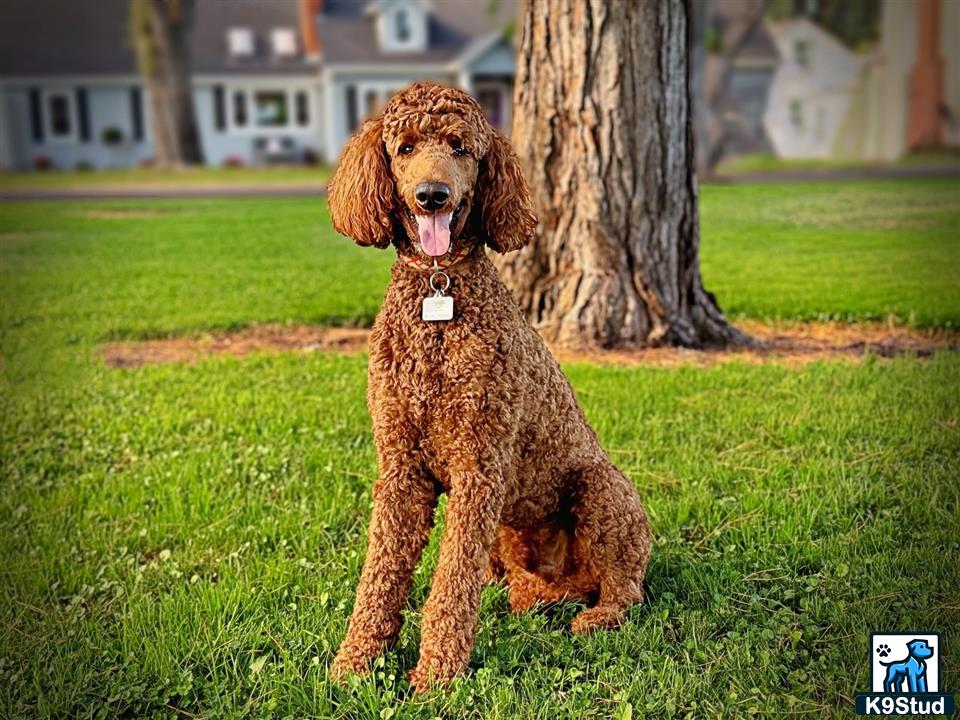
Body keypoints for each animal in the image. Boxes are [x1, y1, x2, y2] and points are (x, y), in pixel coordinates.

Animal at [330, 83, 652, 692]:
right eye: (405, 148)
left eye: (460, 147)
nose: (432, 196)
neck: (439, 291)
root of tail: (563, 582)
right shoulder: (401, 470)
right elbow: (380, 574)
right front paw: (354, 663)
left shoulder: (478, 468)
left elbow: (449, 583)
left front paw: (435, 675)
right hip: (507, 534)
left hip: (602, 492)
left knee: (627, 589)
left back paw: (597, 616)